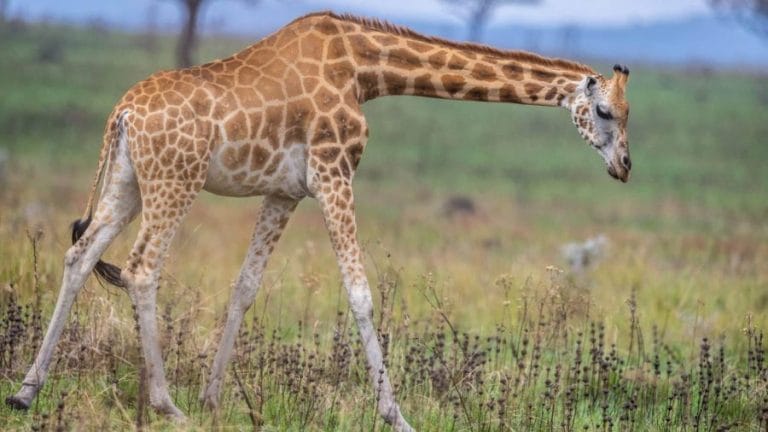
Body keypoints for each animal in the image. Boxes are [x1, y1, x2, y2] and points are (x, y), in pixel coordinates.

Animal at [6, 11, 631, 430]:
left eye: (629, 115)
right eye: (604, 111)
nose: (624, 167)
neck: (365, 69)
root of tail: (122, 114)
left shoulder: (285, 192)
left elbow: (245, 287)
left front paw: (214, 398)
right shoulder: (334, 171)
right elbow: (360, 293)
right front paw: (396, 415)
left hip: (127, 182)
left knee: (80, 254)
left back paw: (26, 392)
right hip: (174, 181)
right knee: (139, 269)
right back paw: (165, 404)